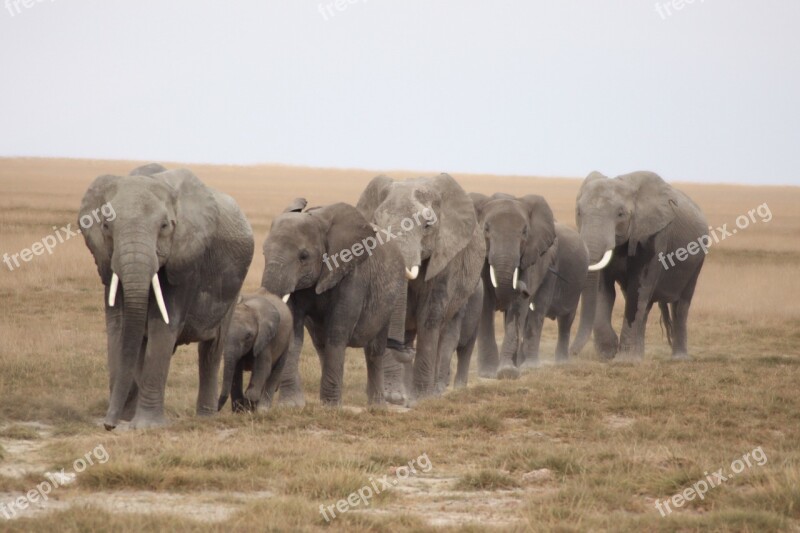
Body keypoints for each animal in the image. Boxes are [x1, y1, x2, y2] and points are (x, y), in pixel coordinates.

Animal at [78, 162, 253, 428]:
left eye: (164, 226)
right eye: (106, 226)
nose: (108, 424)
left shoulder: (186, 261)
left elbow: (163, 326)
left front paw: (145, 426)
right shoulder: (107, 261)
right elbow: (118, 326)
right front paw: (125, 421)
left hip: (232, 290)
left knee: (211, 351)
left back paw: (205, 417)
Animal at [262, 198, 406, 404]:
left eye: (303, 256)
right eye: (263, 253)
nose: (272, 389)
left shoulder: (353, 272)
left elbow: (338, 330)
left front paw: (331, 407)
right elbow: (295, 333)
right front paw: (291, 405)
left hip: (390, 299)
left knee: (374, 350)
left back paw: (377, 406)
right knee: (322, 346)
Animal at [358, 172, 484, 402]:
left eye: (427, 225)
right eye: (376, 224)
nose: (405, 350)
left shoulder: (446, 255)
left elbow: (430, 316)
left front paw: (422, 398)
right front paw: (393, 397)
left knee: (447, 333)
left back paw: (436, 390)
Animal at [468, 192, 588, 378]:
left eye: (524, 232)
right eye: (486, 229)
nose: (523, 289)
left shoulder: (531, 257)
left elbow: (518, 308)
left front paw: (507, 372)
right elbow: (485, 304)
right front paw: (488, 373)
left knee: (546, 313)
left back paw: (533, 366)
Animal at [568, 172, 708, 360]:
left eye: (620, 214)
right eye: (578, 212)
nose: (571, 352)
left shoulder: (654, 236)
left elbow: (639, 288)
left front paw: (623, 359)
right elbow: (604, 290)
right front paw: (608, 352)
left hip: (697, 261)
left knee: (680, 306)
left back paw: (679, 358)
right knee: (645, 306)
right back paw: (639, 355)